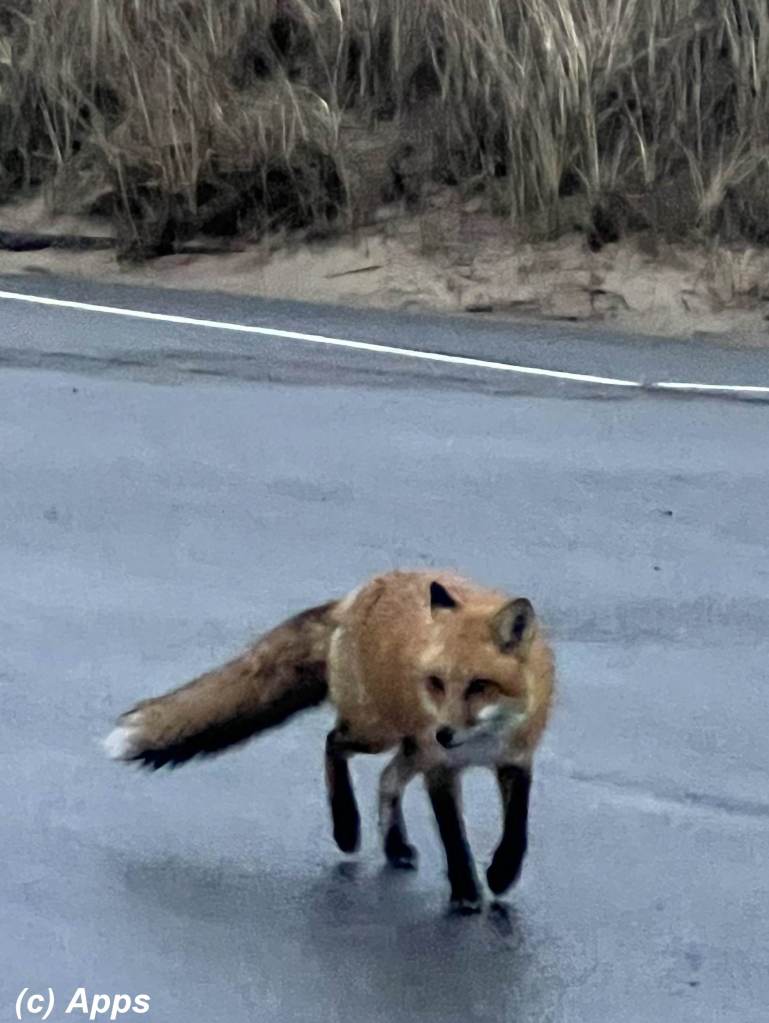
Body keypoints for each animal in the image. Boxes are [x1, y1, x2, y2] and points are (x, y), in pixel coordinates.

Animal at [104, 569, 555, 912]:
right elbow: (454, 837)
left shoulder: (516, 759)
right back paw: (346, 824)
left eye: (479, 685)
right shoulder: (441, 767)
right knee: (332, 743)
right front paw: (465, 892)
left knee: (386, 779)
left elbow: (517, 828)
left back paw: (395, 846)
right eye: (436, 683)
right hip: (377, 732)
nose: (444, 732)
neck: (484, 739)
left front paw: (502, 872)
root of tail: (359, 593)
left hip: (407, 744)